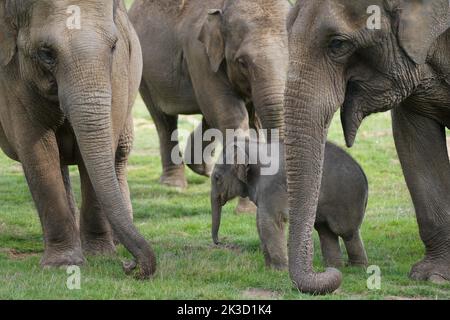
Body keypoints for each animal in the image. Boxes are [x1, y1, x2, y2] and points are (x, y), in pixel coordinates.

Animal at [0, 0, 156, 278]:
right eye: (46, 53)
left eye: (114, 46)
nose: (131, 266)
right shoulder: (11, 76)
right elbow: (37, 150)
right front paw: (63, 263)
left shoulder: (118, 72)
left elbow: (101, 146)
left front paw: (101, 255)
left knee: (120, 153)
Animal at [129, 0, 292, 189]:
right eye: (242, 63)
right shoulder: (199, 55)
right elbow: (232, 114)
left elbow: (250, 118)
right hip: (143, 74)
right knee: (164, 120)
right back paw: (174, 184)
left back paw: (201, 169)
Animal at [211, 141, 370, 268]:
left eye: (217, 178)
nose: (218, 242)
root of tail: (364, 175)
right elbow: (260, 222)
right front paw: (269, 269)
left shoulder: (272, 186)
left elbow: (269, 222)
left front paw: (279, 270)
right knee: (325, 230)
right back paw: (335, 267)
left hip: (346, 199)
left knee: (346, 231)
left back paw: (356, 267)